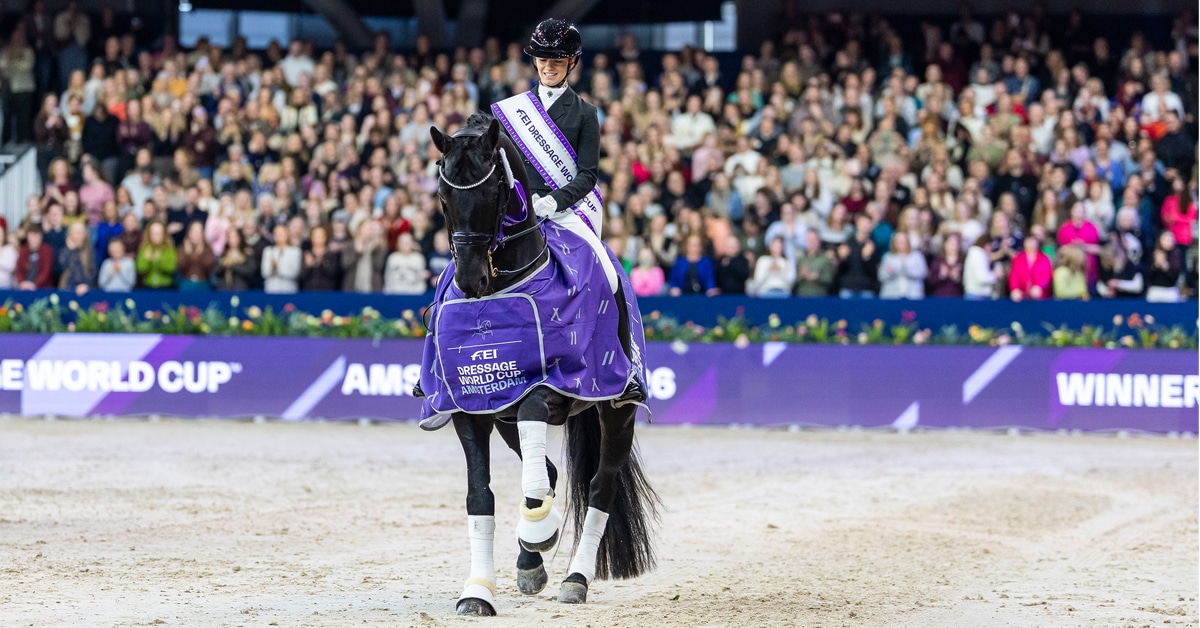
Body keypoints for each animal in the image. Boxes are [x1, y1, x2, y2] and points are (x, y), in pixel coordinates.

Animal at [418, 114, 659, 616]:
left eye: (494, 192)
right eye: (443, 196)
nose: (471, 280)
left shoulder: (551, 387)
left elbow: (538, 446)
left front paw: (539, 530)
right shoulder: (470, 406)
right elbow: (480, 494)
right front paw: (478, 592)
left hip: (618, 408)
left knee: (600, 488)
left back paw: (574, 577)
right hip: (504, 415)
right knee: (547, 471)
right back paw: (530, 562)